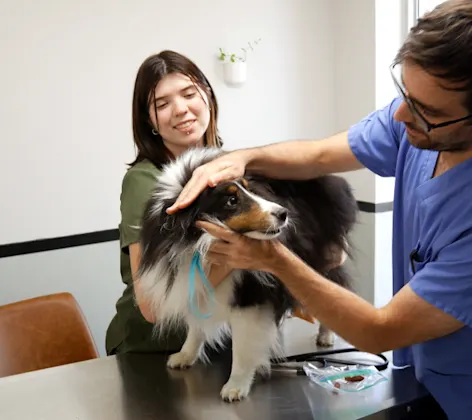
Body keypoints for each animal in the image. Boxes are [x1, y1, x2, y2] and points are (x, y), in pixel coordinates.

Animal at [136, 146, 358, 402]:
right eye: (232, 200)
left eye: (249, 189)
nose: (283, 213)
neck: (200, 244)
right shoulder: (192, 282)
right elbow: (195, 326)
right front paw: (185, 355)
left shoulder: (250, 296)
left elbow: (242, 348)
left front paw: (236, 386)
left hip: (324, 259)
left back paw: (326, 336)